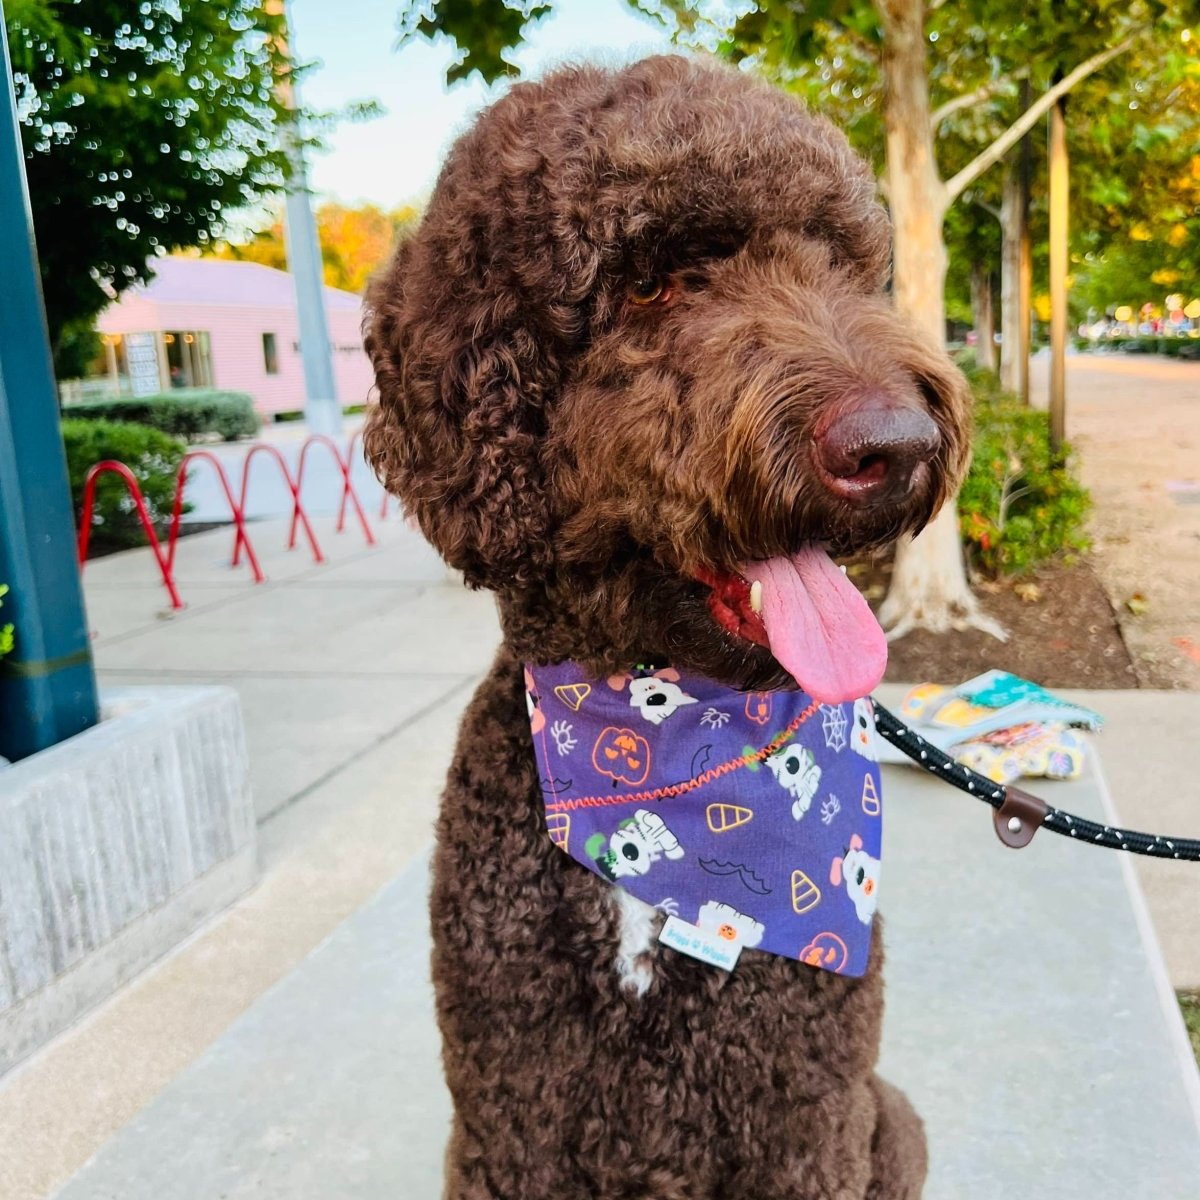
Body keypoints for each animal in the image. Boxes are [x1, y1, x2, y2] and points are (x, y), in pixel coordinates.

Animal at [360, 51, 969, 1195]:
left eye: (841, 264)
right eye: (649, 281)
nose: (898, 444)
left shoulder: (805, 1115)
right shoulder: (509, 1115)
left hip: (893, 1123)